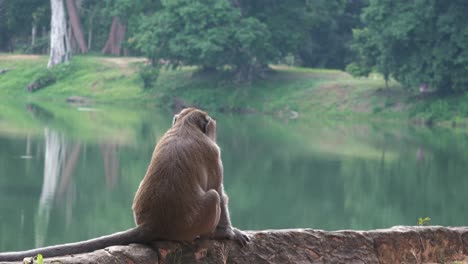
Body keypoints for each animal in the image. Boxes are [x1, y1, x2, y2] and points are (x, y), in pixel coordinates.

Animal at [0, 108, 249, 262]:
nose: (215, 129)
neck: (185, 126)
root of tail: (152, 224)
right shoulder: (213, 152)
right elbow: (219, 191)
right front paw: (228, 232)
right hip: (191, 225)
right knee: (213, 197)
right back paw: (212, 235)